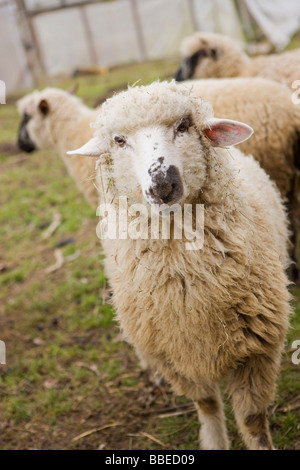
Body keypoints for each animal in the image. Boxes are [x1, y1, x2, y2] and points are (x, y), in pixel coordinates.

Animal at [68, 81, 290, 452]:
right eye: (119, 140)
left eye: (184, 126)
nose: (162, 185)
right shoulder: (172, 355)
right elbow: (208, 405)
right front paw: (214, 442)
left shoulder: (257, 351)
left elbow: (252, 420)